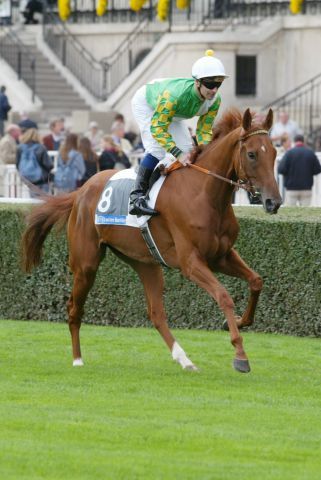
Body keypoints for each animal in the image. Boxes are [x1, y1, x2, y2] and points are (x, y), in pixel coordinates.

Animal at [21, 108, 280, 372]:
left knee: (156, 314)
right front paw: (240, 354)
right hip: (86, 264)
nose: (274, 202)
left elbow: (256, 281)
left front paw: (238, 321)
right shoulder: (191, 262)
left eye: (274, 152)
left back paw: (184, 360)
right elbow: (224, 296)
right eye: (251, 154)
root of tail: (81, 190)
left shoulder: (221, 256)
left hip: (145, 263)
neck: (204, 193)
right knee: (74, 308)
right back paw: (77, 359)